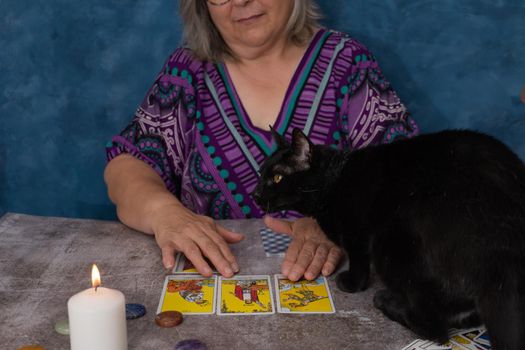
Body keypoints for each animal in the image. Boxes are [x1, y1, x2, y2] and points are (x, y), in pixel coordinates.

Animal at [252, 129, 520, 350]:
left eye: (277, 178)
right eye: (261, 173)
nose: (255, 194)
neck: (333, 178)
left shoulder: (356, 231)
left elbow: (358, 261)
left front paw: (351, 284)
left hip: (390, 242)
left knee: (434, 328)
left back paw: (386, 301)